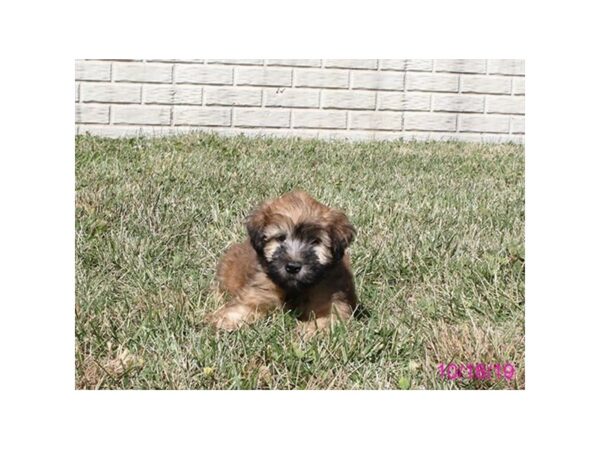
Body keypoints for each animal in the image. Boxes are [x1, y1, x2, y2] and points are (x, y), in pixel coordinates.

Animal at [209, 191, 356, 334]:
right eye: (280, 238)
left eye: (315, 241)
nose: (293, 267)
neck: (294, 289)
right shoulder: (259, 291)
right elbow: (245, 306)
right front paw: (226, 320)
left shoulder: (330, 298)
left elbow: (331, 318)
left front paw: (310, 330)